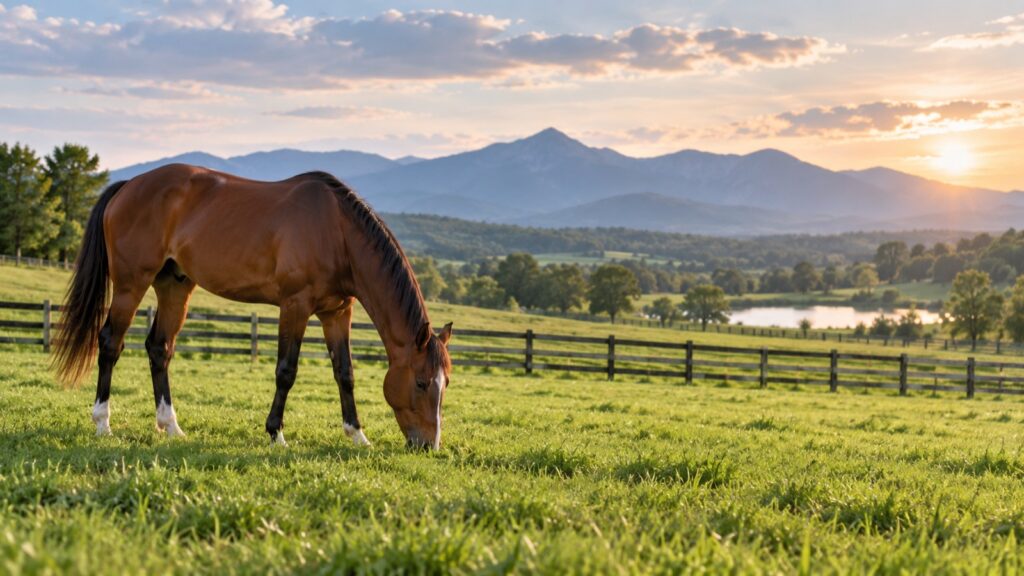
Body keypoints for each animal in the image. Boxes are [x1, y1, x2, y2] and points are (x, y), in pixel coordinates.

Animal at [52, 164, 453, 450]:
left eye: (445, 382)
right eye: (421, 382)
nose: (428, 446)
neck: (337, 231)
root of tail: (129, 185)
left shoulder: (337, 312)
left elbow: (345, 373)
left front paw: (357, 435)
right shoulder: (295, 306)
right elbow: (286, 371)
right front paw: (276, 433)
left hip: (174, 286)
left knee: (159, 348)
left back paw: (171, 426)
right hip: (131, 283)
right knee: (110, 343)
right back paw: (103, 422)